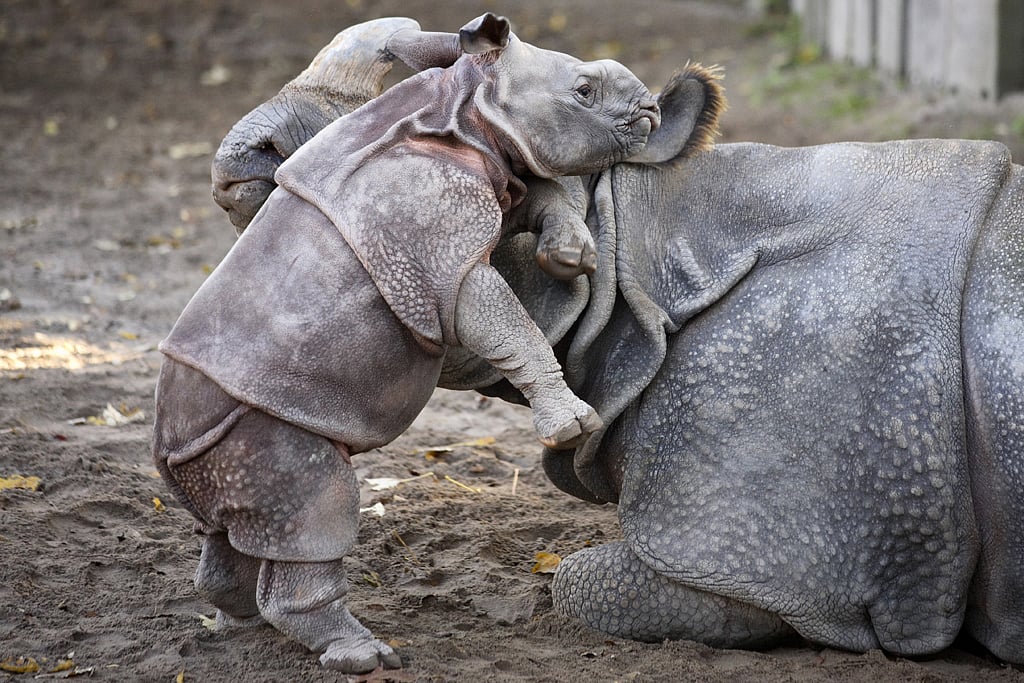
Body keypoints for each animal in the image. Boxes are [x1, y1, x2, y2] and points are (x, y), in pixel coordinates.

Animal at [154, 13, 673, 673]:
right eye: (583, 90)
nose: (651, 108)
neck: (469, 106)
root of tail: (165, 453)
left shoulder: (499, 175)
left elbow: (543, 193)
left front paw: (571, 257)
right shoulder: (441, 246)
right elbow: (505, 322)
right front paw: (573, 426)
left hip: (217, 440)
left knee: (233, 529)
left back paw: (238, 622)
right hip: (256, 428)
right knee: (314, 503)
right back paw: (366, 656)